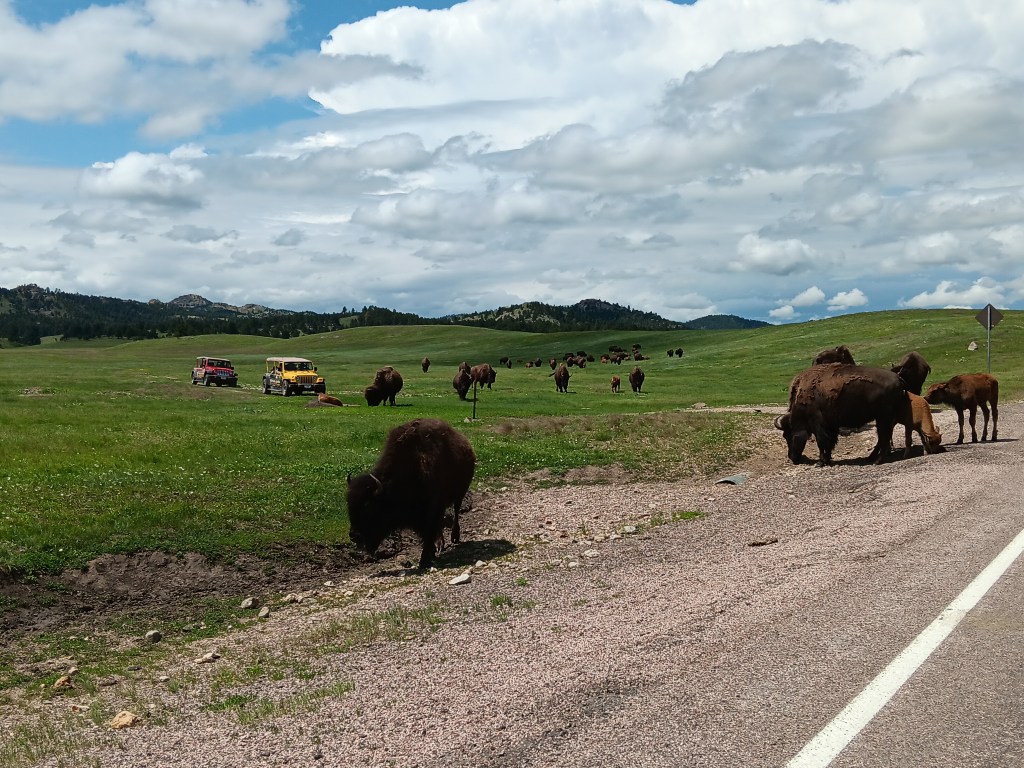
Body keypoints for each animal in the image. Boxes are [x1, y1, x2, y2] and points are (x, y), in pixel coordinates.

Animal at [346, 418, 476, 570]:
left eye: (368, 506)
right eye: (349, 504)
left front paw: (424, 560)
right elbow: (427, 533)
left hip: (459, 494)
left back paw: (454, 537)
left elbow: (428, 533)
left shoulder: (430, 510)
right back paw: (440, 545)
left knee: (455, 512)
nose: (354, 535)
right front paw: (431, 554)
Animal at [775, 363, 906, 466]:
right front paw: (827, 460)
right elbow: (830, 442)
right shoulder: (831, 426)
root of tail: (899, 378)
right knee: (883, 437)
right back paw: (871, 457)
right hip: (882, 419)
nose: (792, 458)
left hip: (884, 418)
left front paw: (820, 462)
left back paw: (877, 460)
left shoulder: (818, 425)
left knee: (884, 436)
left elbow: (821, 442)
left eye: (789, 435)